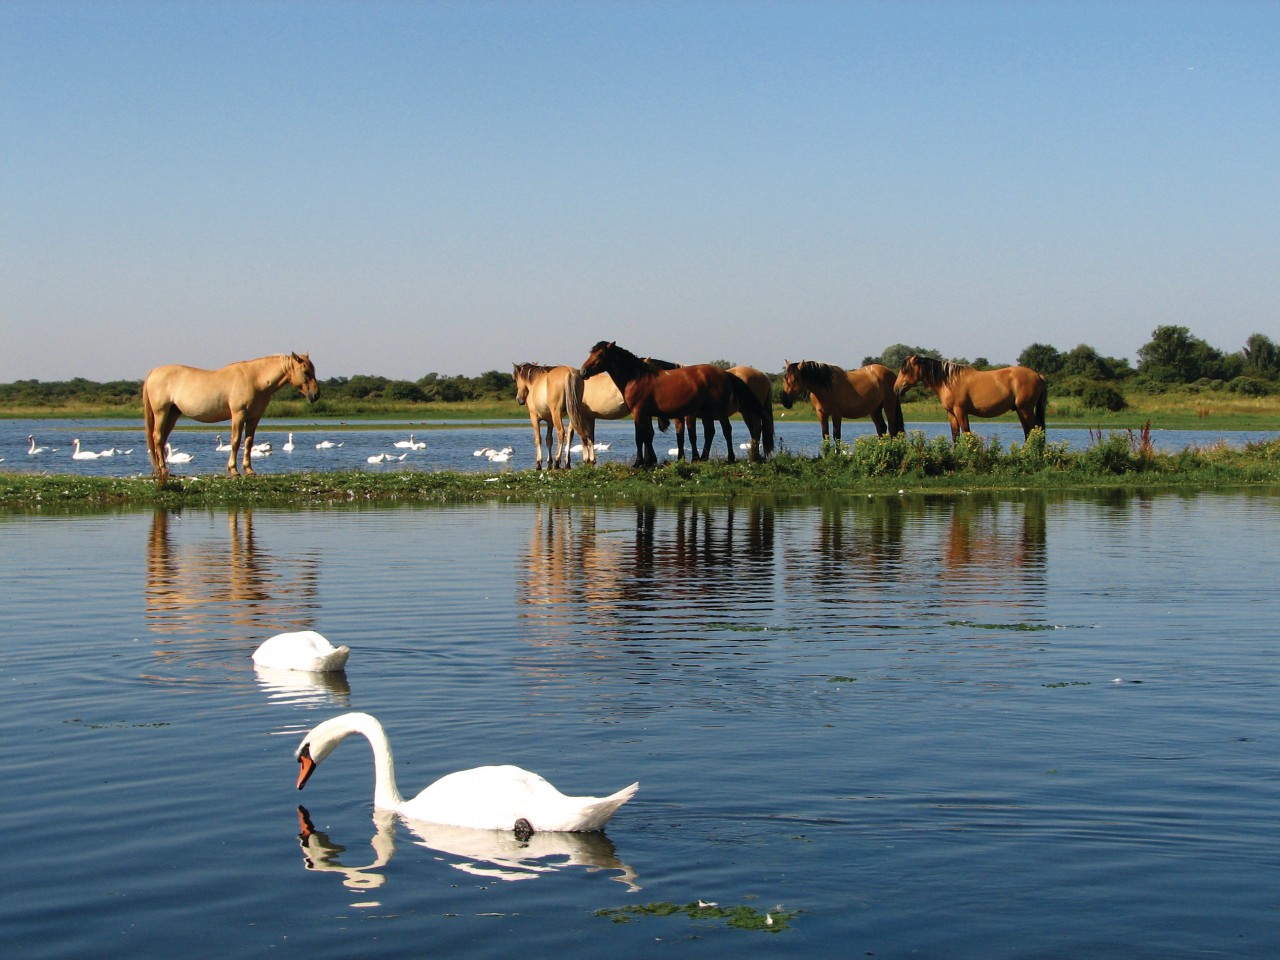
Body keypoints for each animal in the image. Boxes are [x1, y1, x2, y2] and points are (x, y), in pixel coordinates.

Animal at [140, 350, 317, 481]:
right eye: (306, 372)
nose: (316, 395)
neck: (254, 379)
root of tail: (153, 372)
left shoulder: (254, 418)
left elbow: (248, 442)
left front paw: (249, 470)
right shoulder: (238, 415)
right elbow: (236, 441)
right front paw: (233, 470)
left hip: (172, 414)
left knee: (162, 439)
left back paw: (163, 470)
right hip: (161, 412)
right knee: (157, 438)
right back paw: (163, 470)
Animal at [581, 343, 768, 471]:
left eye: (600, 354)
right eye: (591, 353)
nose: (583, 371)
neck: (637, 378)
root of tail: (725, 373)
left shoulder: (639, 412)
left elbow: (640, 437)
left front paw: (639, 462)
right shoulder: (648, 414)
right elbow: (649, 436)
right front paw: (650, 461)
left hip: (720, 411)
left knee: (727, 431)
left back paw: (730, 458)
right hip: (708, 413)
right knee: (710, 432)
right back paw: (703, 458)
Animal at [773, 360, 906, 440]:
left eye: (796, 379)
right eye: (784, 378)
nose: (785, 401)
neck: (826, 386)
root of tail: (892, 374)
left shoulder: (836, 414)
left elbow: (836, 435)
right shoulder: (821, 414)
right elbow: (825, 435)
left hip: (889, 405)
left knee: (892, 429)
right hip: (875, 409)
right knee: (881, 428)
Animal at [890, 355, 1049, 442]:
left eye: (905, 370)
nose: (896, 389)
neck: (949, 380)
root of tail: (1038, 376)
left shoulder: (960, 411)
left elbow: (967, 432)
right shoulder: (951, 413)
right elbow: (955, 435)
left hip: (1025, 409)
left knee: (1036, 429)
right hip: (1021, 410)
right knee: (1029, 431)